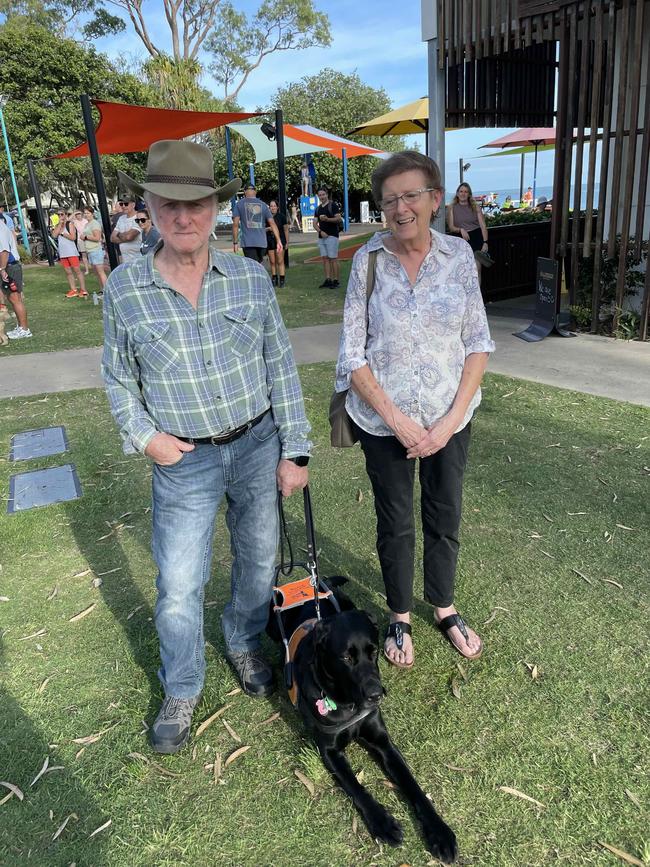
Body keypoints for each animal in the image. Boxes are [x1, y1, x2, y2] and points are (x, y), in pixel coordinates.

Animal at [268, 580, 456, 864]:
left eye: (374, 651)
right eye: (346, 658)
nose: (376, 694)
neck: (347, 701)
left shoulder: (383, 742)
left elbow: (413, 786)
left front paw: (440, 831)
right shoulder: (330, 752)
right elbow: (357, 787)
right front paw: (383, 822)